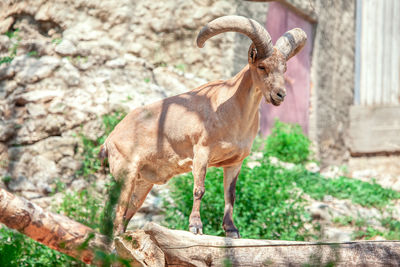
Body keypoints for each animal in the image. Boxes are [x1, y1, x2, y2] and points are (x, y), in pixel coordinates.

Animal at [101, 15, 306, 240]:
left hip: (143, 182)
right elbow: (199, 189)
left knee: (129, 210)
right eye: (262, 66)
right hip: (126, 172)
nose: (280, 95)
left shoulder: (235, 162)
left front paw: (232, 230)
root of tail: (110, 139)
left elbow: (230, 195)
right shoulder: (201, 151)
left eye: (284, 69)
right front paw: (195, 226)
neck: (231, 111)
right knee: (117, 210)